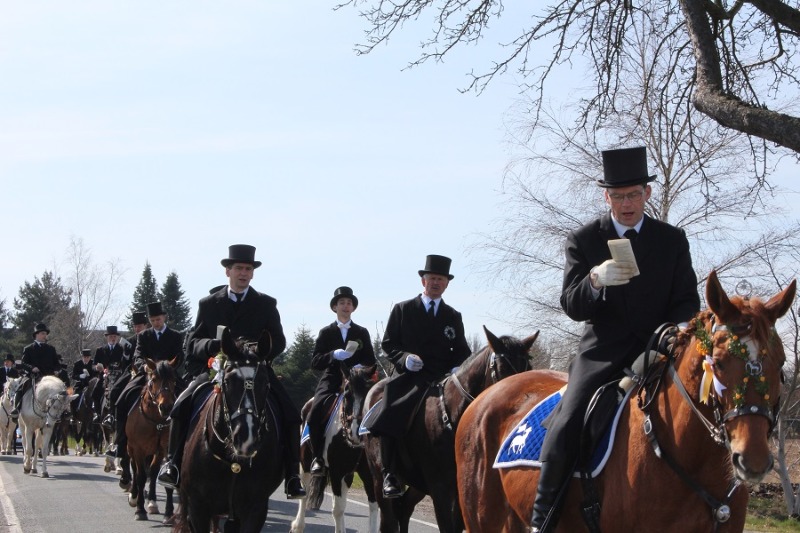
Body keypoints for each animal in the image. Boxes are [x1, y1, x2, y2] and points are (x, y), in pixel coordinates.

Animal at [126, 356, 177, 520]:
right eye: (154, 379)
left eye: (173, 379)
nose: (166, 407)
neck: (156, 422)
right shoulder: (138, 449)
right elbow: (141, 476)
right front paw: (140, 510)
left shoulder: (164, 449)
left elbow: (159, 474)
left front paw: (168, 511)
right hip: (130, 448)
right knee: (135, 468)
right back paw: (134, 496)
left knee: (152, 472)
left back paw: (152, 503)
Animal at [176, 328, 284, 532]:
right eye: (226, 382)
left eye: (265, 384)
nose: (246, 440)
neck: (232, 462)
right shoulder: (197, 508)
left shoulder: (255, 510)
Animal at [294, 364, 382, 528]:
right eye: (347, 392)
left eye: (370, 390)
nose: (357, 431)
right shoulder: (336, 471)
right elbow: (338, 510)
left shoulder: (367, 474)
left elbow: (373, 509)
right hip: (305, 464)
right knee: (305, 492)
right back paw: (298, 526)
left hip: (347, 475)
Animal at [366, 326, 540, 528]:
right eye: (502, 369)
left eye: (528, 368)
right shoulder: (441, 489)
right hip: (379, 479)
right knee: (389, 518)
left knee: (404, 509)